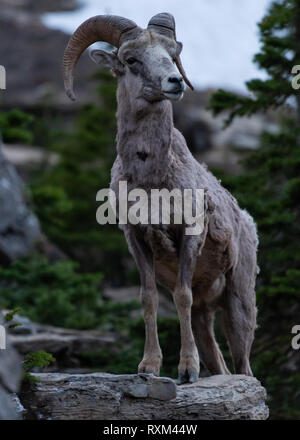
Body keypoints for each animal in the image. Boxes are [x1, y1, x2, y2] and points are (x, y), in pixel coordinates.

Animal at [62, 12, 258, 384]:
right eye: (130, 60)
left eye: (172, 52)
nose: (175, 82)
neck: (151, 180)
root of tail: (247, 221)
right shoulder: (136, 239)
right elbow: (148, 298)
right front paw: (149, 367)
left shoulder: (188, 236)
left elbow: (181, 296)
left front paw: (186, 370)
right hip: (207, 312)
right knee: (218, 359)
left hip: (239, 304)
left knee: (244, 366)